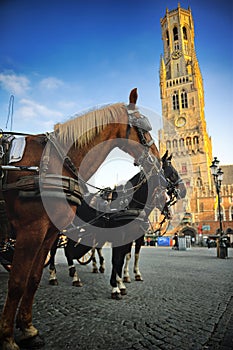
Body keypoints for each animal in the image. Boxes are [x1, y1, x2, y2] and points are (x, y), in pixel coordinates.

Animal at [0, 88, 162, 350]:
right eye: (144, 126)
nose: (157, 159)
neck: (57, 161)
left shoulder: (49, 232)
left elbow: (32, 279)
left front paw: (28, 329)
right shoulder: (31, 230)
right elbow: (17, 283)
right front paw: (7, 338)